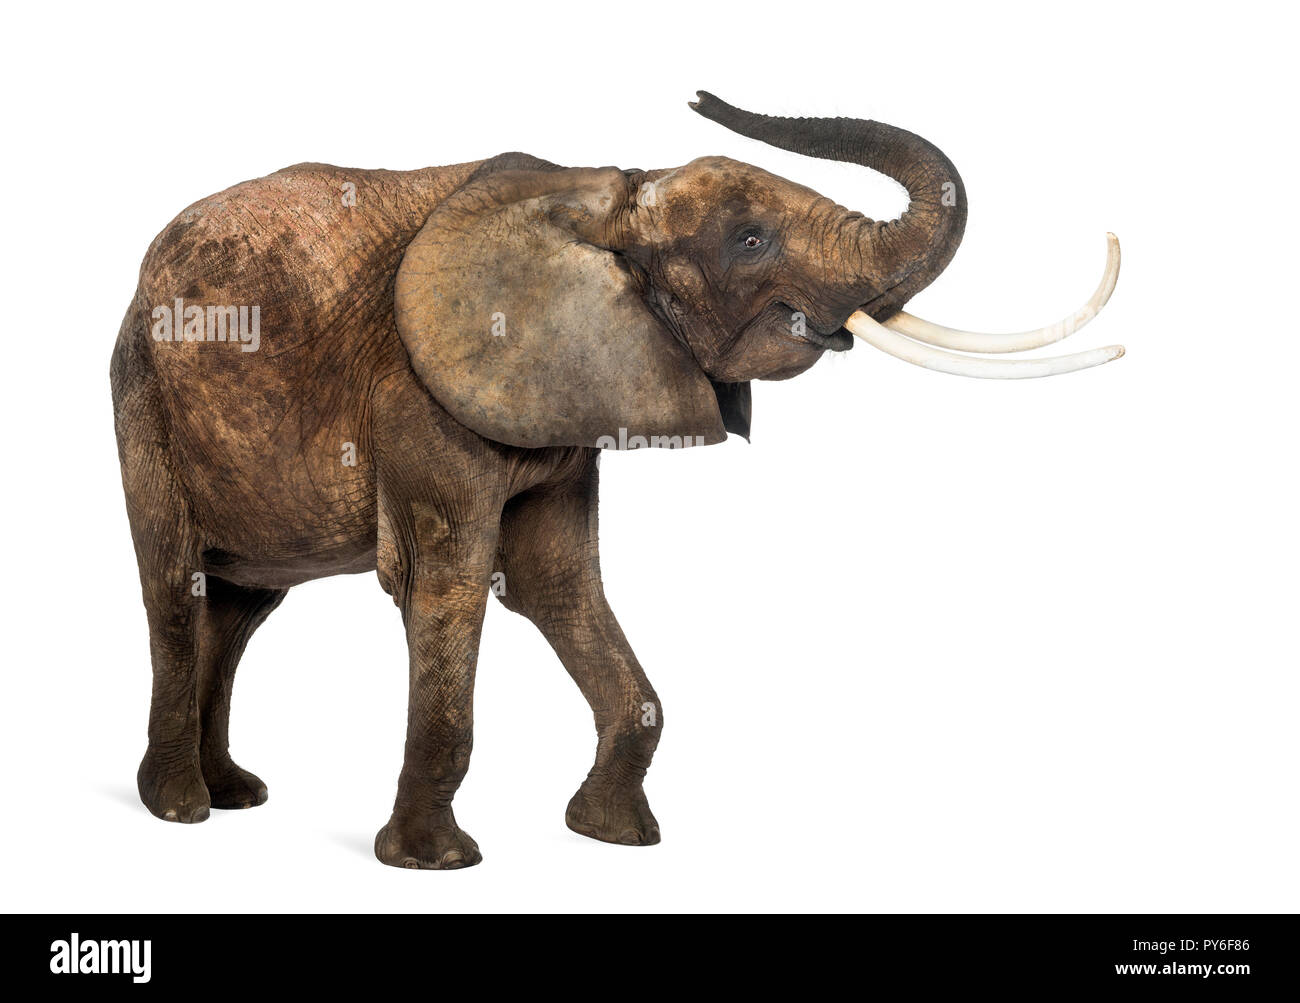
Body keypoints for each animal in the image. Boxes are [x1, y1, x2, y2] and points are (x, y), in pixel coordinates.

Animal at [110, 92, 1123, 868]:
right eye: (749, 240)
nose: (703, 93)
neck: (604, 198)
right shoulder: (418, 401)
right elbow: (448, 587)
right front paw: (438, 864)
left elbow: (560, 583)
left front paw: (616, 839)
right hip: (141, 396)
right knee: (175, 586)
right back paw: (183, 808)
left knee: (240, 604)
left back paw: (236, 794)